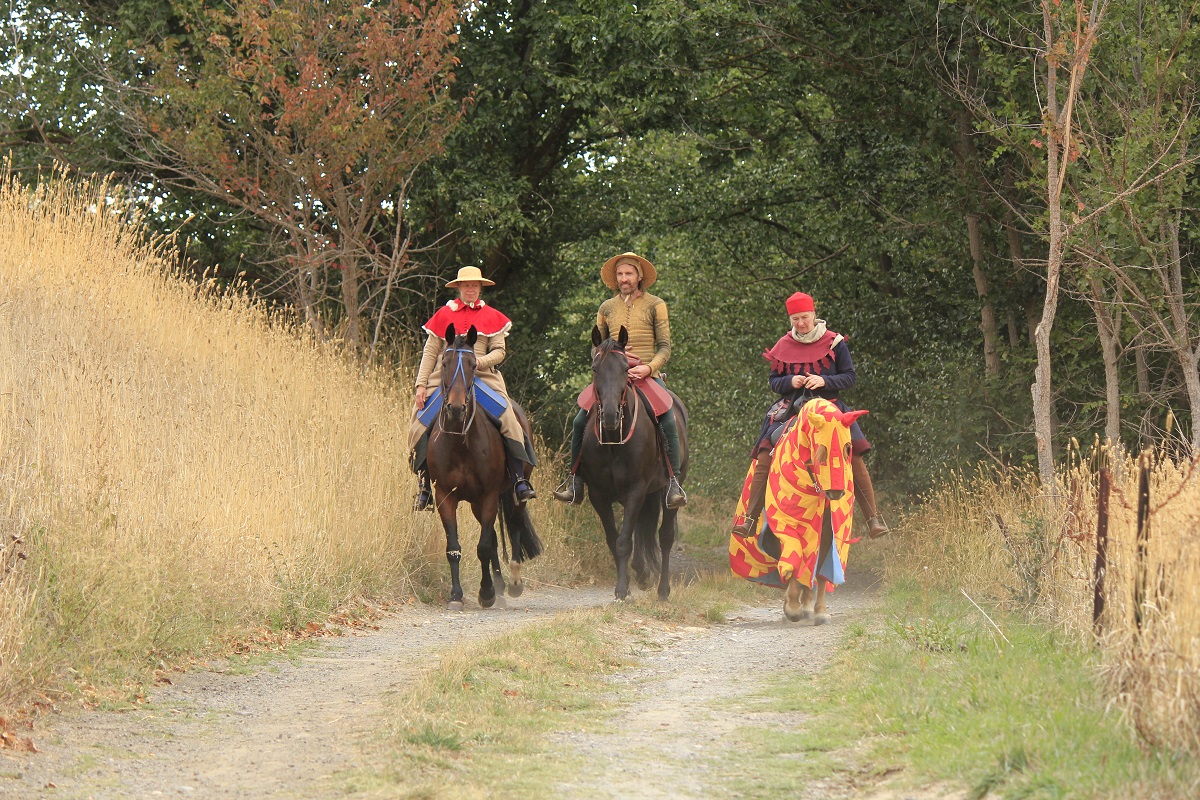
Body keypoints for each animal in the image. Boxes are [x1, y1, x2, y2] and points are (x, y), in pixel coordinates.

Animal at [426, 323, 542, 610]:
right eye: (443, 363)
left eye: (471, 365)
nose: (456, 408)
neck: (460, 442)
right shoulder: (445, 496)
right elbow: (454, 547)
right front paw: (457, 596)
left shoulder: (489, 495)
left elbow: (484, 547)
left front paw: (487, 592)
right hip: (477, 503)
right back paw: (500, 588)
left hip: (511, 494)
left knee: (513, 527)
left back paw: (512, 584)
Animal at [579, 325, 688, 601]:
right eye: (595, 369)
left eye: (625, 369)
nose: (609, 416)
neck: (613, 440)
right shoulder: (598, 495)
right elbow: (614, 539)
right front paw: (626, 584)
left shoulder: (636, 490)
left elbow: (624, 541)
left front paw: (621, 589)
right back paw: (641, 573)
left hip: (667, 490)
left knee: (665, 536)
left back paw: (663, 589)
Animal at [728, 398, 866, 623]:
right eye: (821, 450)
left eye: (848, 448)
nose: (836, 492)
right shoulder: (786, 523)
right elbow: (794, 557)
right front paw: (792, 606)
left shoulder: (828, 531)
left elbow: (819, 567)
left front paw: (818, 610)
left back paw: (808, 606)